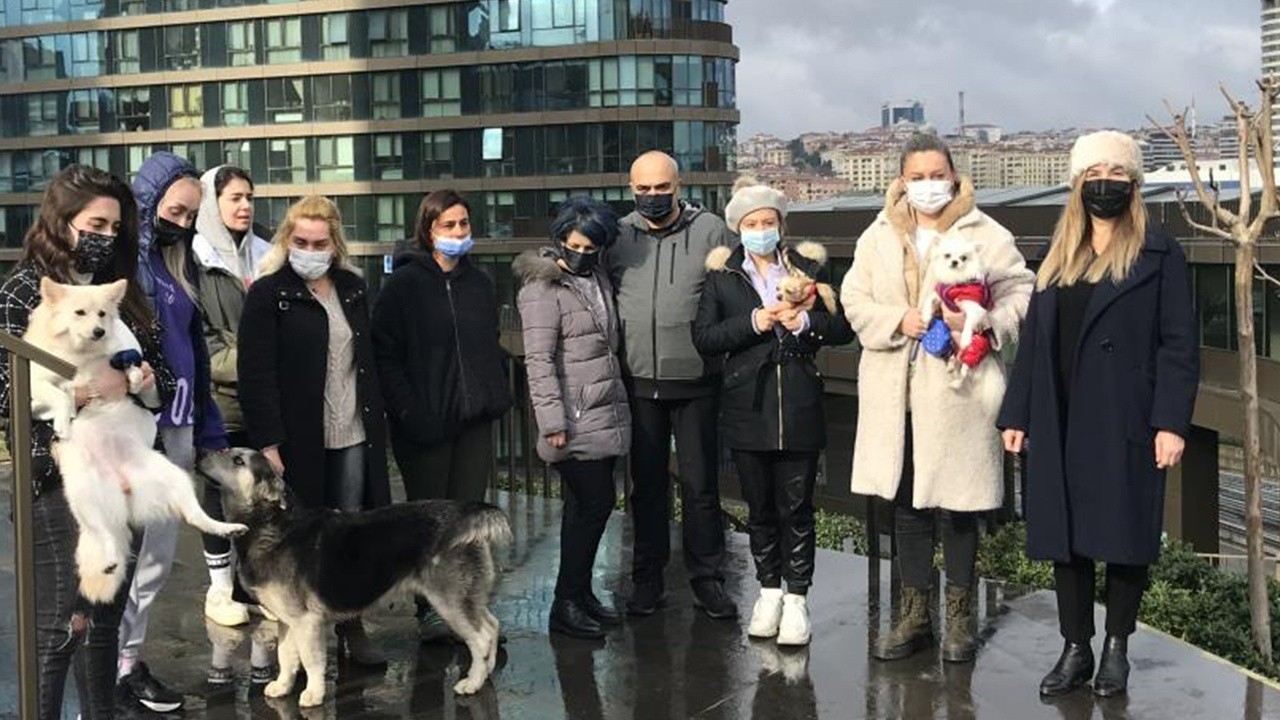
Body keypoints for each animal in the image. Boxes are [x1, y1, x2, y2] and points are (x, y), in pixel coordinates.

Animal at [26, 275, 247, 599]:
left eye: (102, 314)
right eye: (80, 313)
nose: (99, 331)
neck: (83, 353)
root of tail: (123, 487)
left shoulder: (128, 357)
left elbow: (135, 367)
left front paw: (132, 379)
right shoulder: (34, 385)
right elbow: (60, 393)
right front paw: (64, 420)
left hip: (175, 477)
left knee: (195, 516)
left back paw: (226, 528)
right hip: (85, 500)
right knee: (103, 534)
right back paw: (108, 559)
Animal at [199, 445, 509, 702]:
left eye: (238, 460)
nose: (200, 454)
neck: (268, 522)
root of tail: (465, 516)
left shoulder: (306, 622)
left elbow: (311, 660)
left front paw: (313, 694)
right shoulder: (288, 621)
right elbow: (286, 656)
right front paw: (282, 686)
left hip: (450, 600)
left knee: (481, 638)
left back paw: (472, 682)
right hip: (466, 597)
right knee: (492, 625)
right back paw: (487, 670)